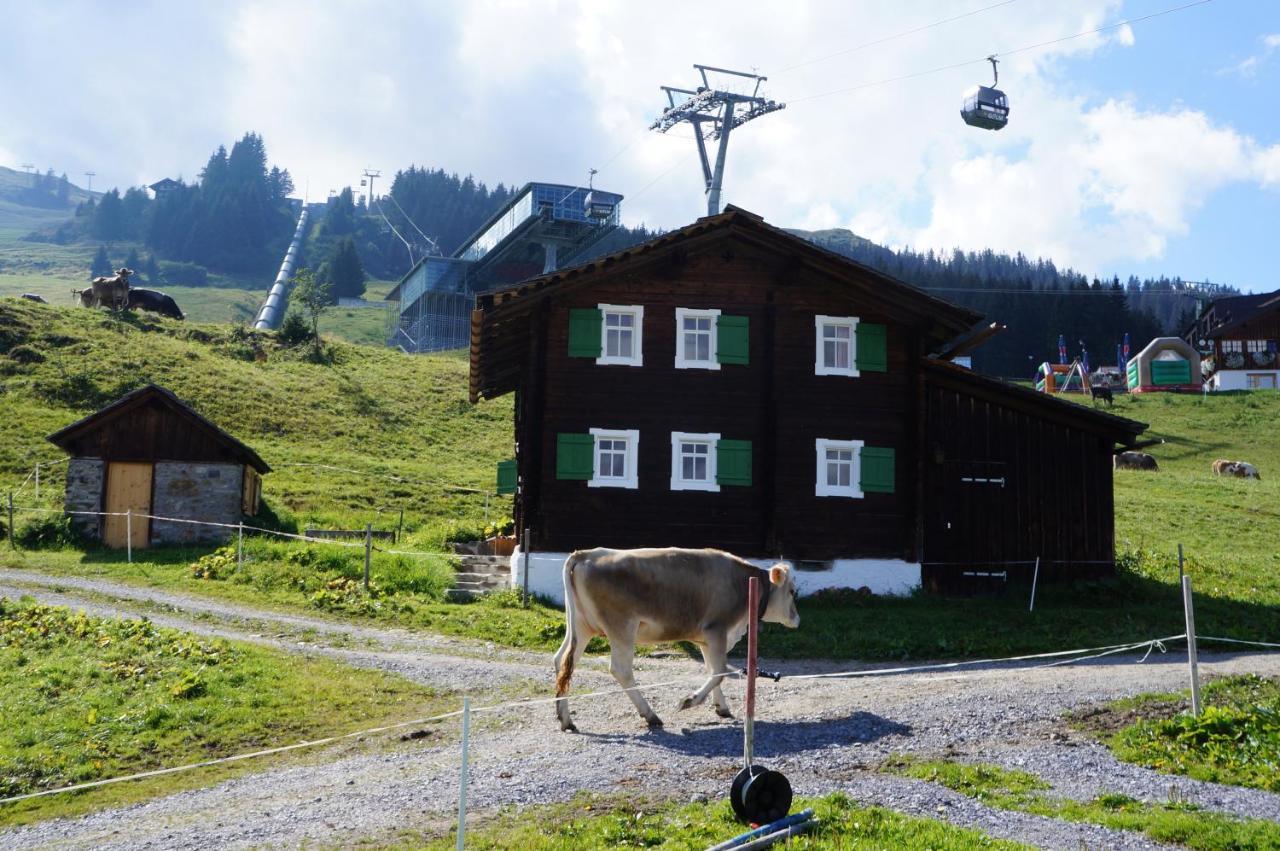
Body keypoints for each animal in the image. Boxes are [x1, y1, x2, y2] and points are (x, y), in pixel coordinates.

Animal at [552, 547, 798, 731]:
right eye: (792, 591)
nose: (797, 619)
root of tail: (586, 554)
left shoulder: (707, 640)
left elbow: (713, 671)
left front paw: (722, 707)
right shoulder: (717, 630)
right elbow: (719, 671)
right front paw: (690, 701)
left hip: (581, 627)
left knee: (562, 661)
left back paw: (565, 719)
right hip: (621, 627)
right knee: (620, 670)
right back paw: (650, 715)